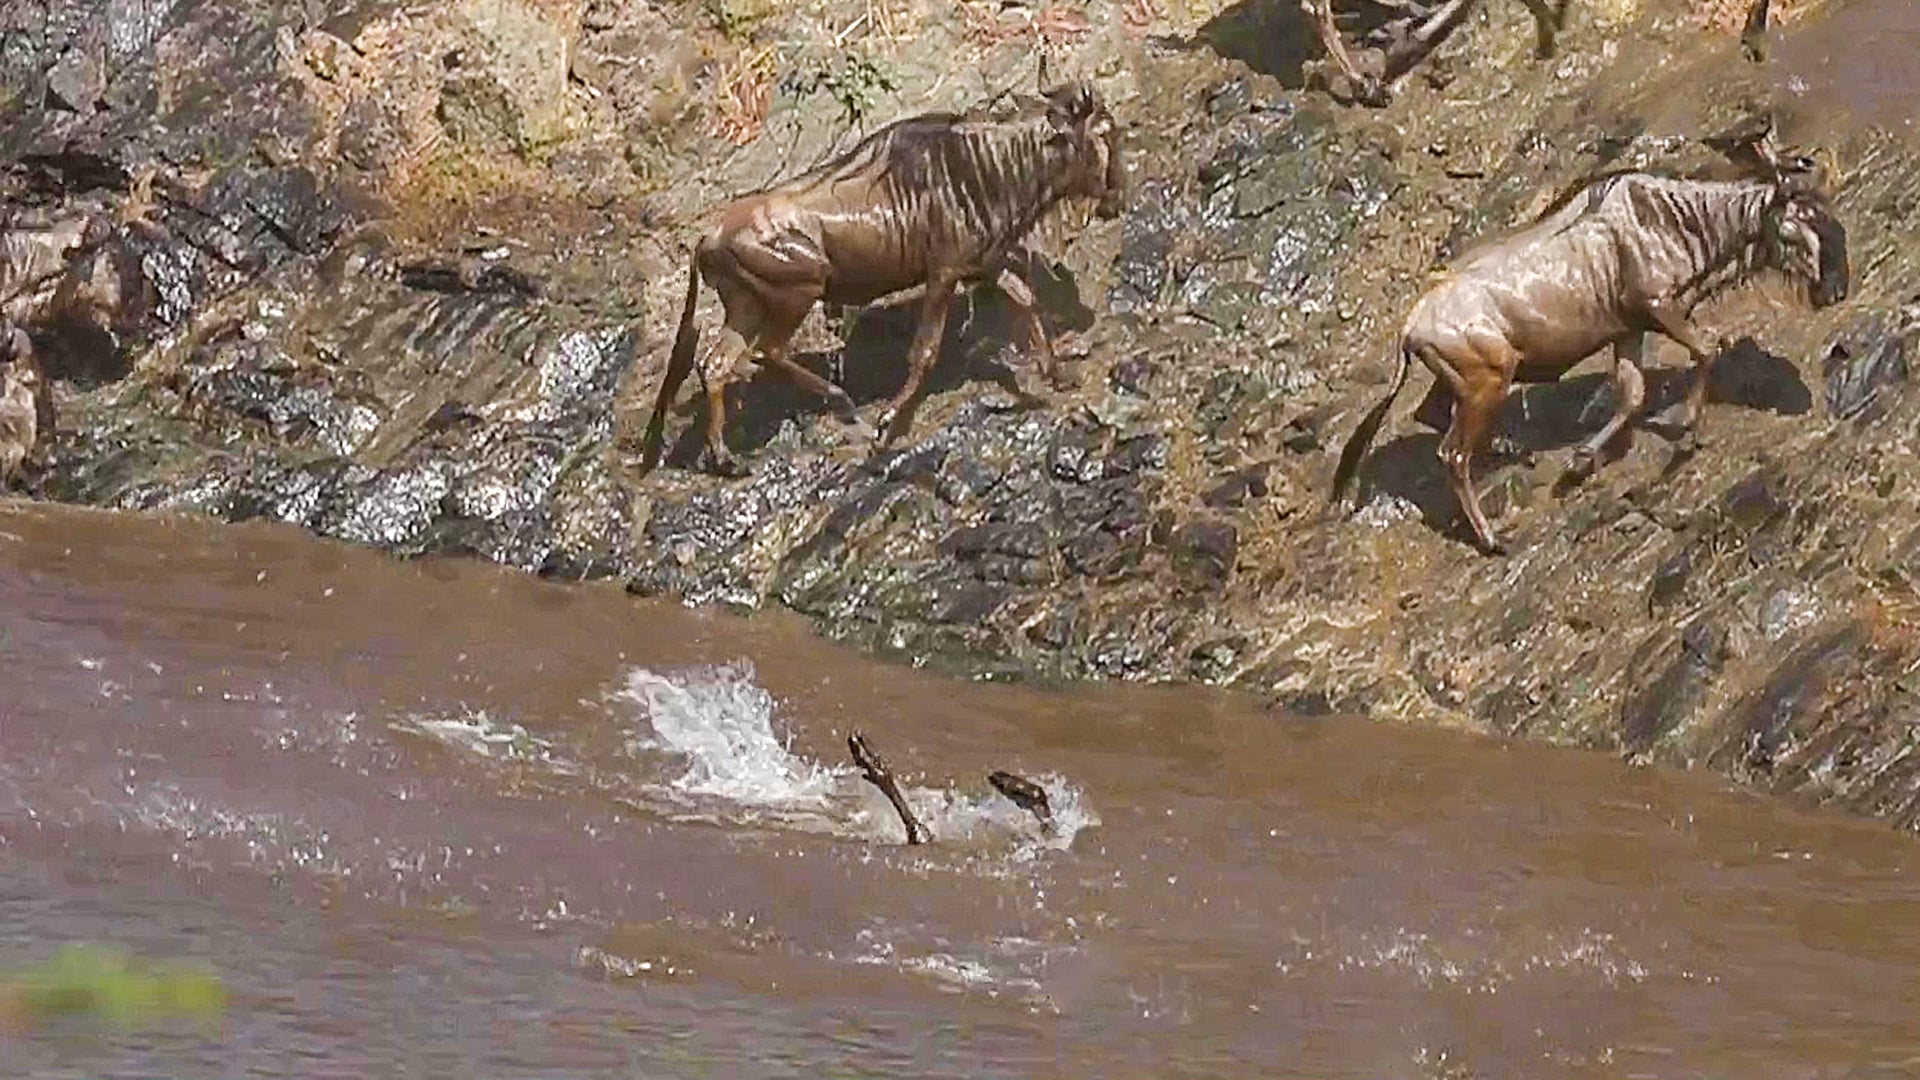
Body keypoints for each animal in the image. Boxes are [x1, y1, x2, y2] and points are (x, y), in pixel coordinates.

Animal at [638, 79, 1126, 477]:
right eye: (1103, 134)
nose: (1116, 198)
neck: (986, 169)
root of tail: (709, 236)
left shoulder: (986, 263)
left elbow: (1025, 298)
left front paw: (1056, 373)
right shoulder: (944, 273)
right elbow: (924, 351)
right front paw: (887, 425)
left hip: (746, 305)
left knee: (716, 365)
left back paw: (725, 459)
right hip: (800, 290)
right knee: (766, 352)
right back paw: (840, 401)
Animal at [1330, 133, 1850, 554]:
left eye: (1832, 219)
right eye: (1799, 224)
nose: (1836, 291)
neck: (1681, 219)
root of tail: (1410, 327)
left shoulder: (1629, 330)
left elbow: (1633, 394)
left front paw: (1581, 460)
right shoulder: (1656, 306)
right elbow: (1704, 352)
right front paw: (1685, 430)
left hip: (1473, 381)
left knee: (1431, 415)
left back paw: (1511, 449)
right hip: (1487, 382)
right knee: (1452, 455)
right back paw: (1493, 538)